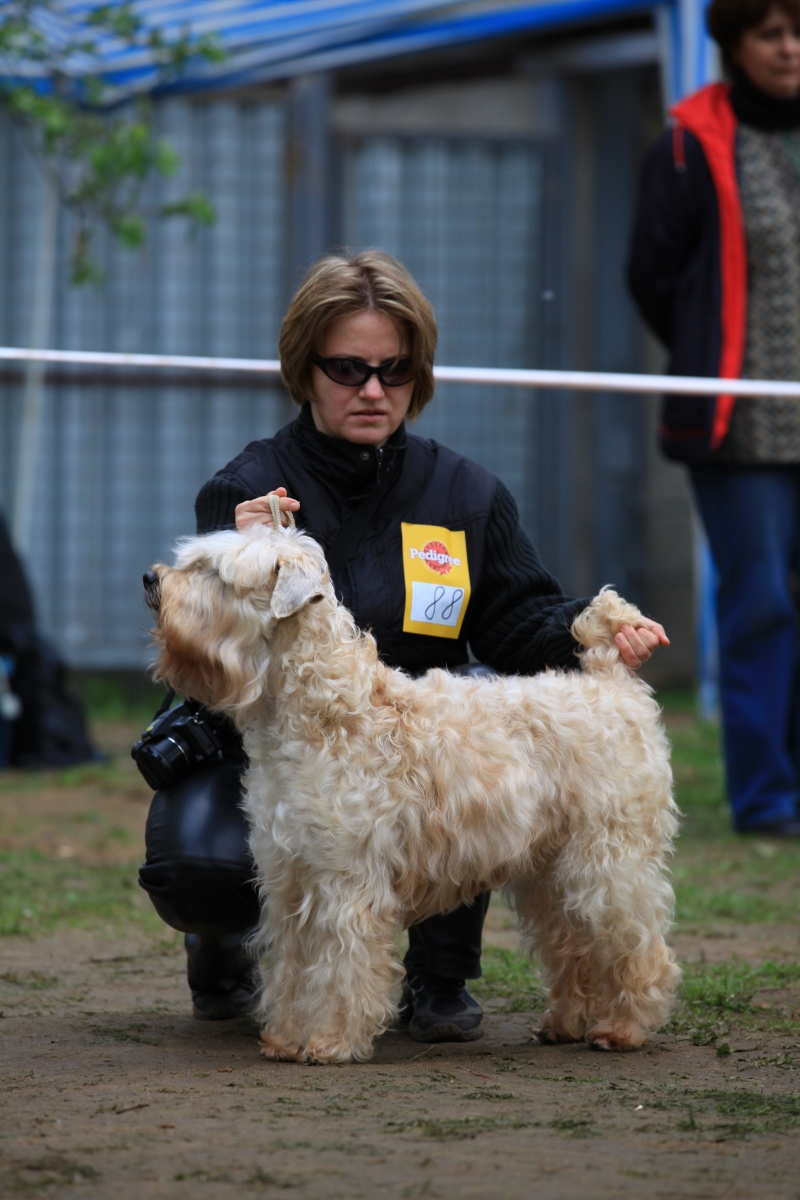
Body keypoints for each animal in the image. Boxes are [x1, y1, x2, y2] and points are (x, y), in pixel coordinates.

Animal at [146, 525, 681, 1060]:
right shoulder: (290, 874)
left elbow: (338, 967)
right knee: (572, 945)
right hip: (549, 872)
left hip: (605, 859)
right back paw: (564, 1023)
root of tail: (613, 685)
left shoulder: (345, 879)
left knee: (637, 942)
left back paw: (622, 1028)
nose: (151, 579)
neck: (326, 711)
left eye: (217, 574)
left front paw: (328, 1041)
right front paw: (285, 1037)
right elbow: (293, 966)